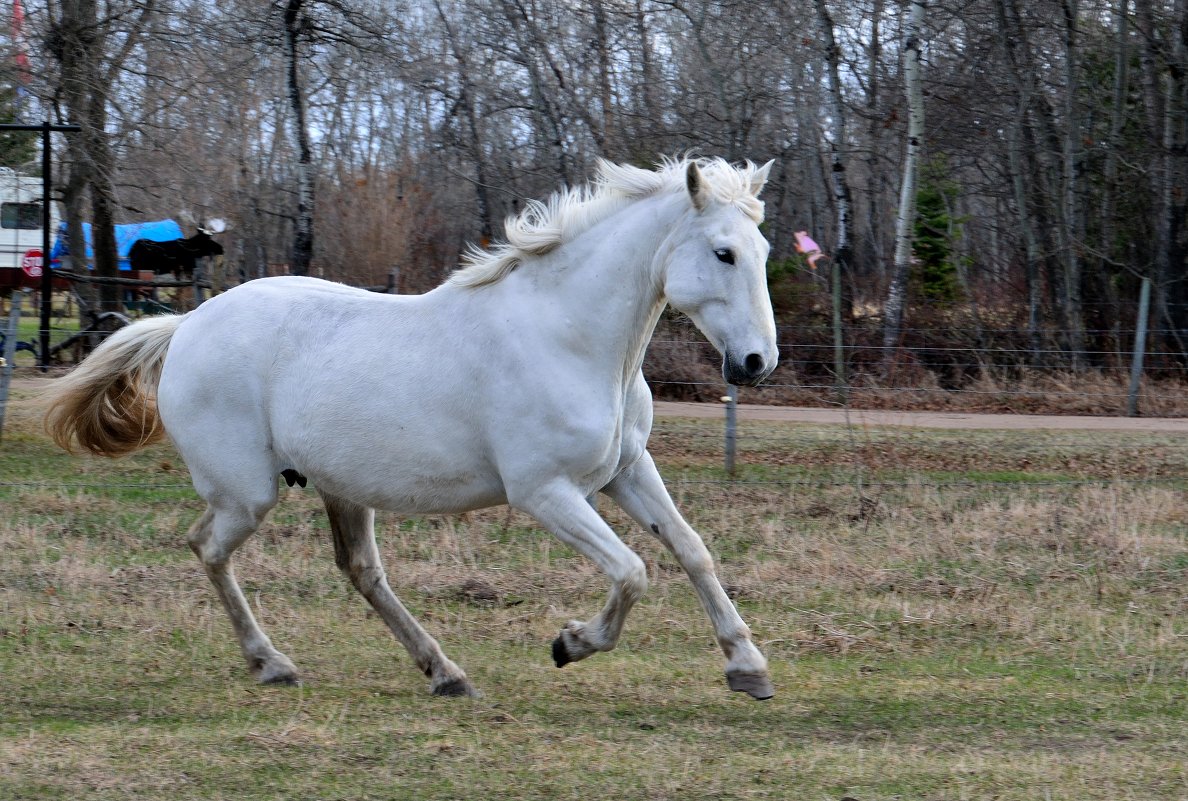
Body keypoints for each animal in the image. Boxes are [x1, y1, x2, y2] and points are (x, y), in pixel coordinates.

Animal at [43, 154, 779, 694]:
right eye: (723, 253)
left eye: (764, 248)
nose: (755, 362)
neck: (567, 337)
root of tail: (188, 324)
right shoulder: (545, 492)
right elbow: (632, 571)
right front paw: (570, 643)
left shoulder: (625, 471)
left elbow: (691, 549)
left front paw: (748, 667)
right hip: (247, 493)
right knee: (209, 548)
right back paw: (272, 663)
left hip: (340, 487)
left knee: (361, 570)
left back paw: (443, 671)